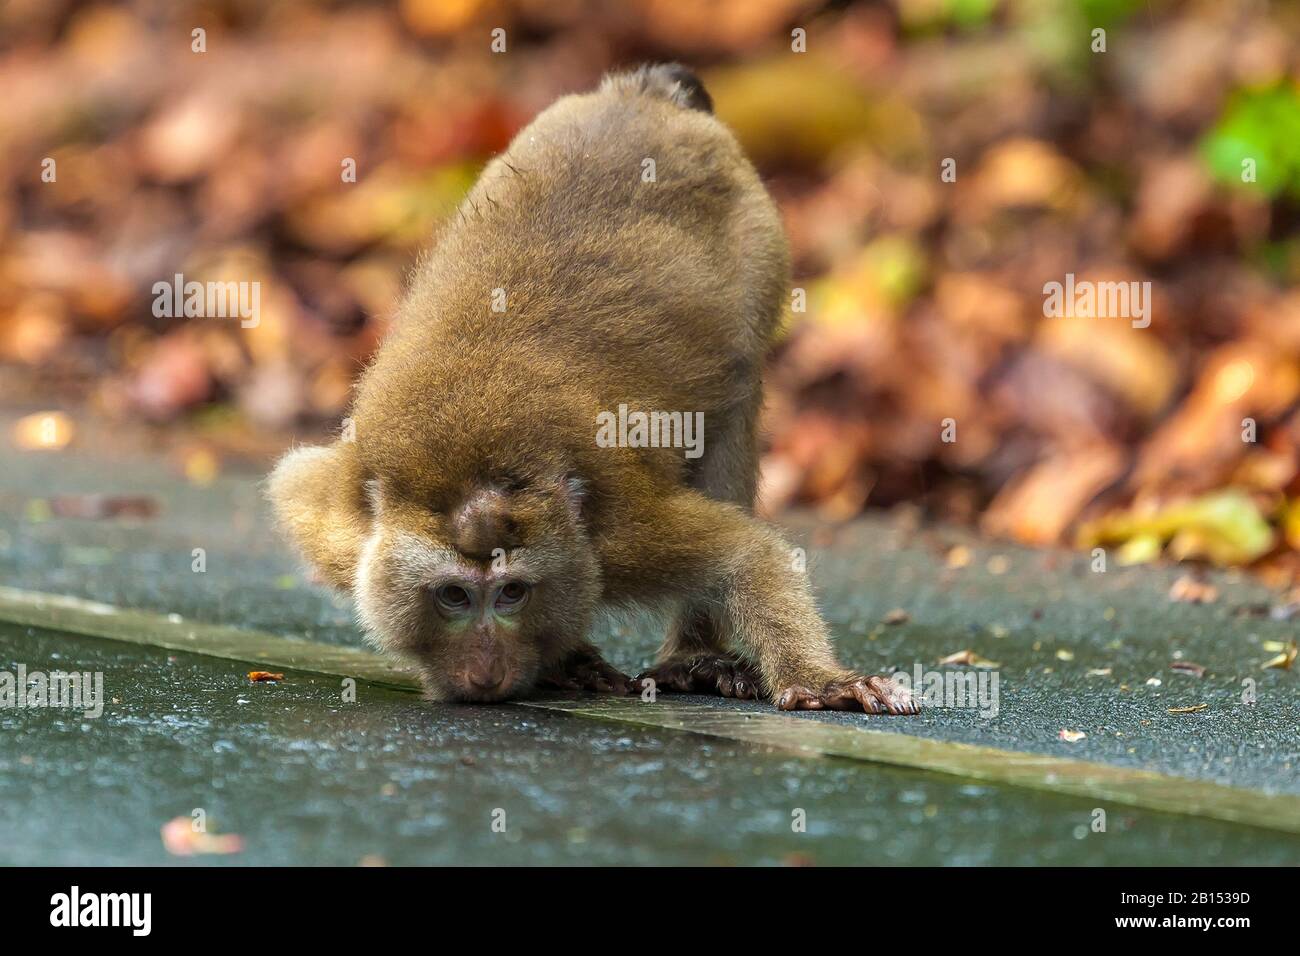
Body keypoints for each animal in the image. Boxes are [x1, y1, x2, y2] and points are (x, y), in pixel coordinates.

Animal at [266, 63, 915, 712]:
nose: (485, 674)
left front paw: (820, 680)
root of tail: (643, 95)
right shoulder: (343, 515)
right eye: (453, 596)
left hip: (760, 245)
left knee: (734, 402)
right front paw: (567, 658)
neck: (475, 462)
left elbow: (746, 554)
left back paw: (695, 657)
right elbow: (292, 484)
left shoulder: (617, 540)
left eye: (512, 594)